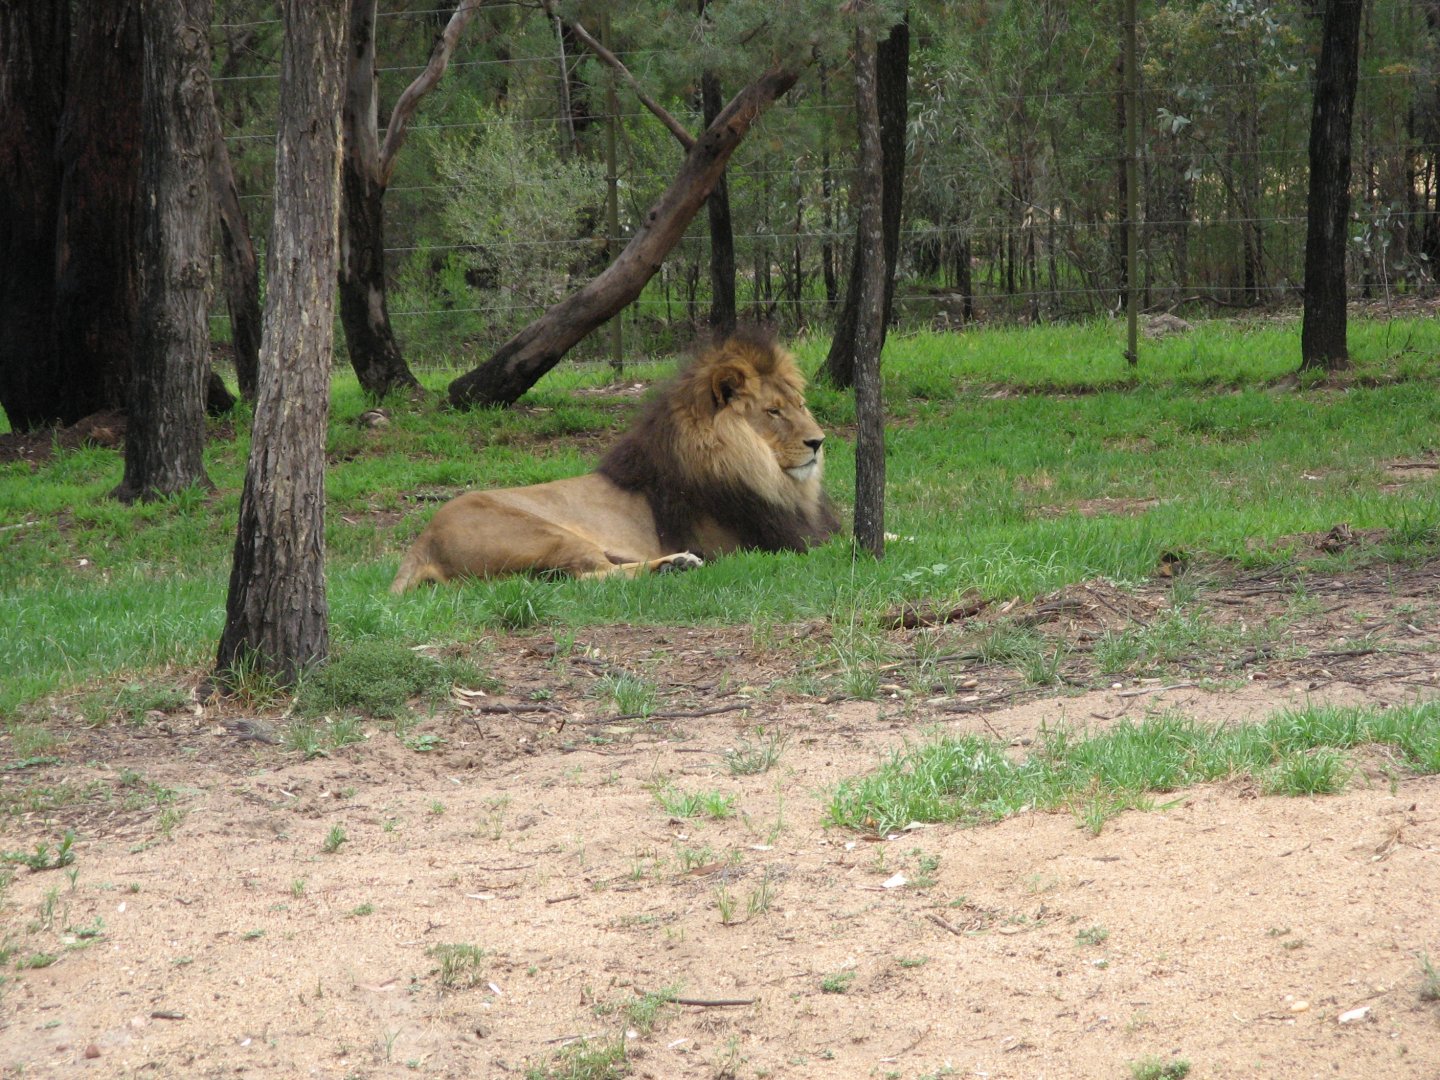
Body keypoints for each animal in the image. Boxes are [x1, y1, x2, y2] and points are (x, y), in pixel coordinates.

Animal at [390, 330, 841, 593]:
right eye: (773, 412)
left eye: (800, 405)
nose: (818, 442)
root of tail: (423, 541)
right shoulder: (769, 545)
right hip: (546, 533)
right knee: (584, 575)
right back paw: (676, 564)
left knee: (567, 576)